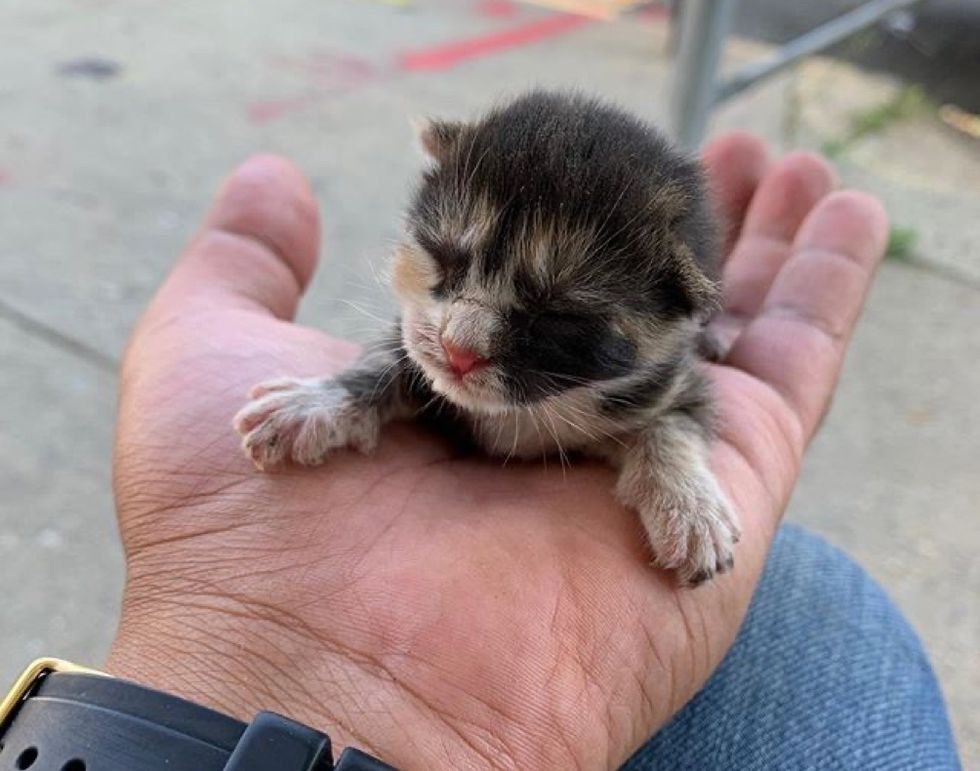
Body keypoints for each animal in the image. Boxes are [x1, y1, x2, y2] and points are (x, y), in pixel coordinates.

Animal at [234, 90, 740, 584]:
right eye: (444, 259)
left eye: (557, 315)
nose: (458, 350)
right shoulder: (412, 339)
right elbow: (385, 362)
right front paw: (314, 403)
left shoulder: (669, 380)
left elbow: (673, 425)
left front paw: (690, 508)